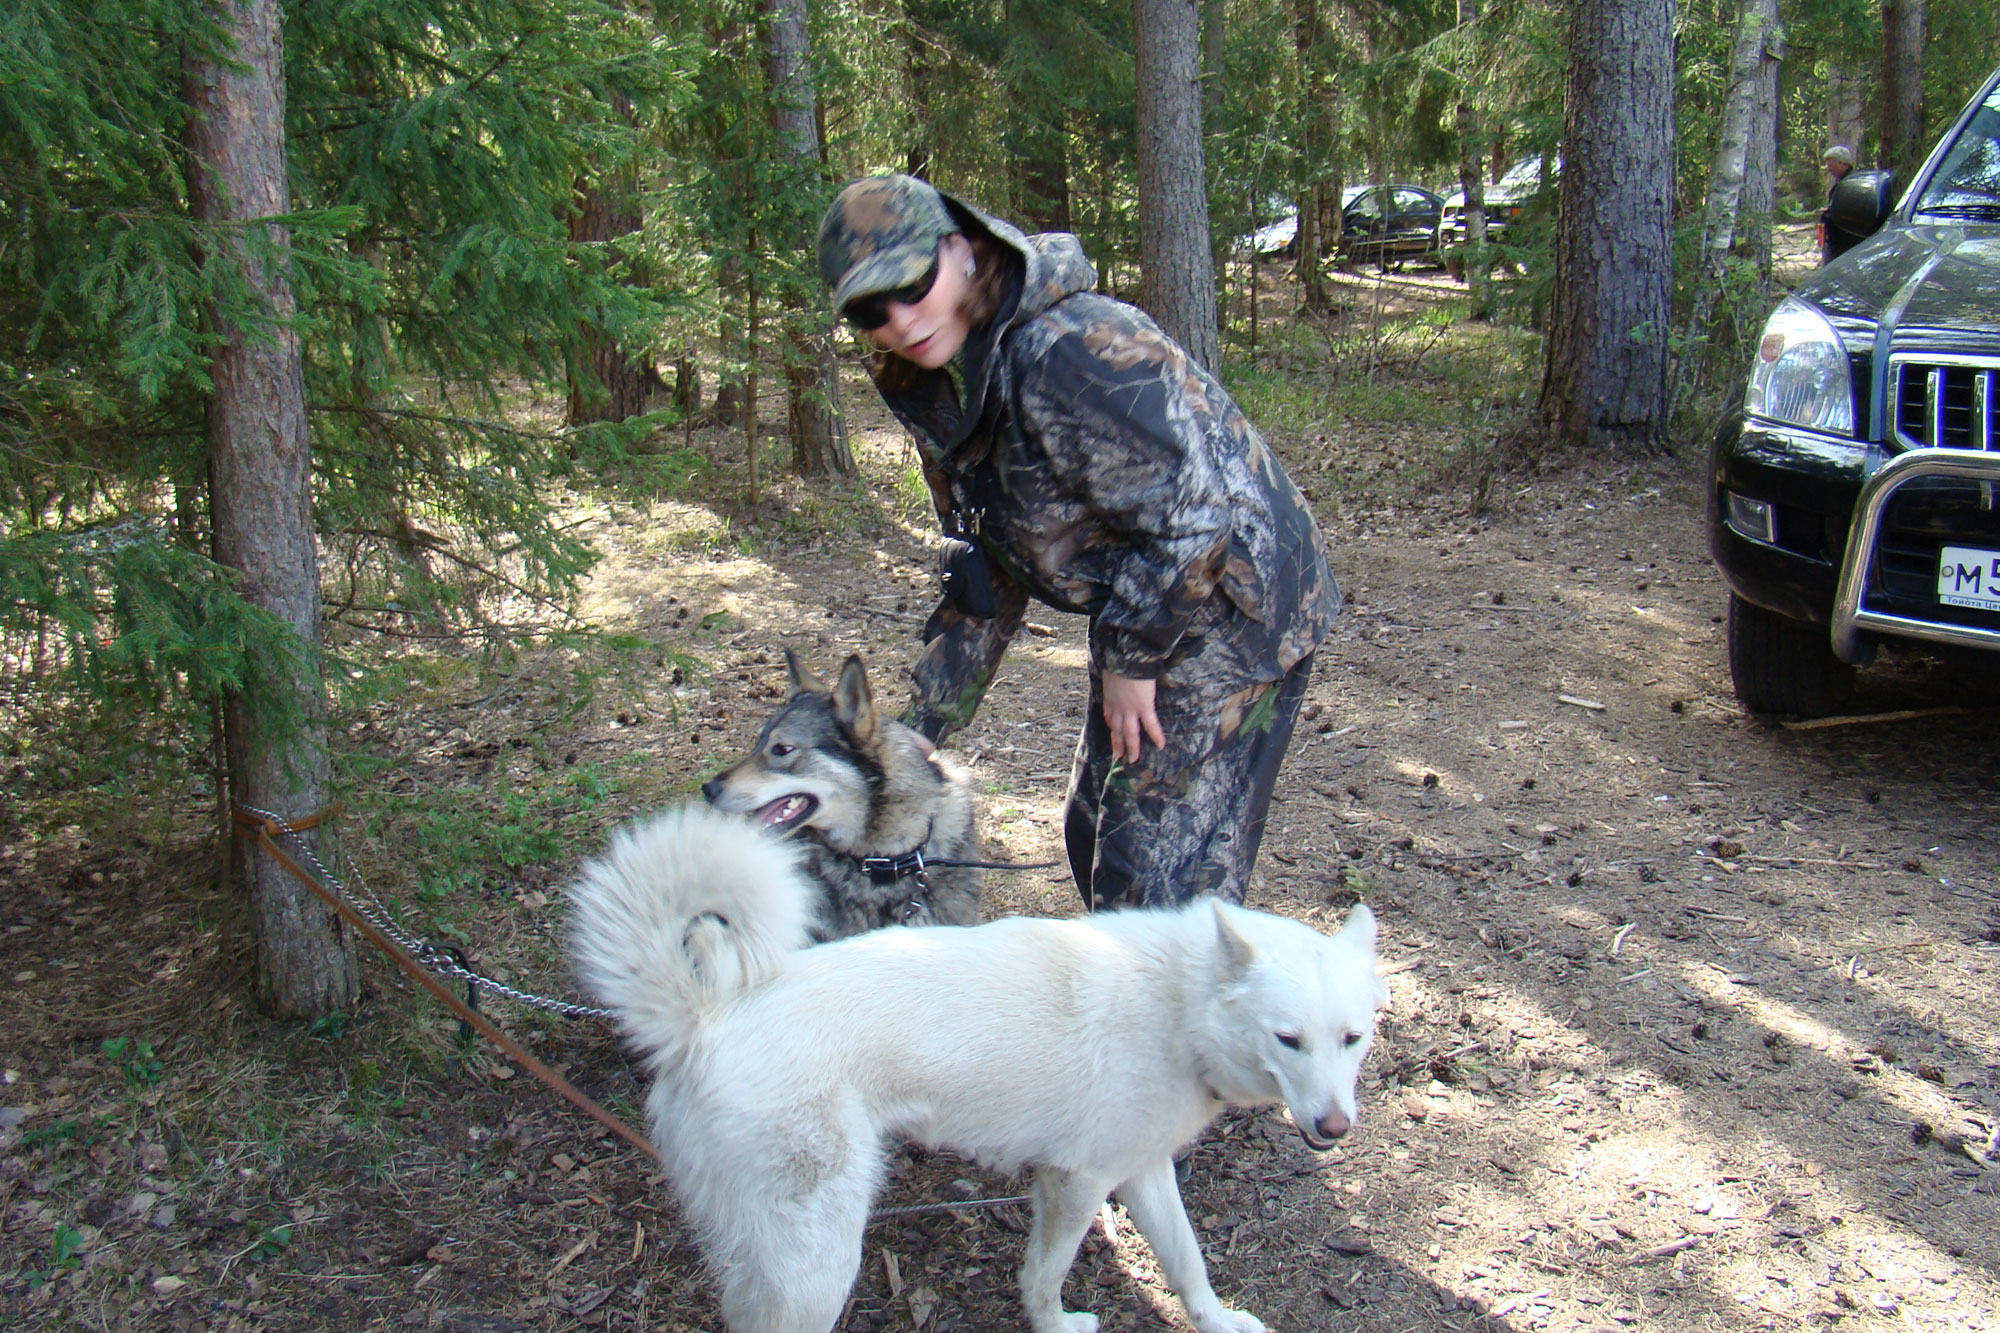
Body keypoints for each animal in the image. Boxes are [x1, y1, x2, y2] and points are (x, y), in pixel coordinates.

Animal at [568, 802, 1386, 1333]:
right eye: (1288, 1039)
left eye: (1351, 1038)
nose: (1334, 1127)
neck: (1181, 1007)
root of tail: (704, 1019)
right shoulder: (1075, 1185)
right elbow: (1046, 1279)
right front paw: (1058, 1326)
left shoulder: (1142, 1172)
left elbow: (1189, 1265)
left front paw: (1219, 1321)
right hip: (820, 1259)